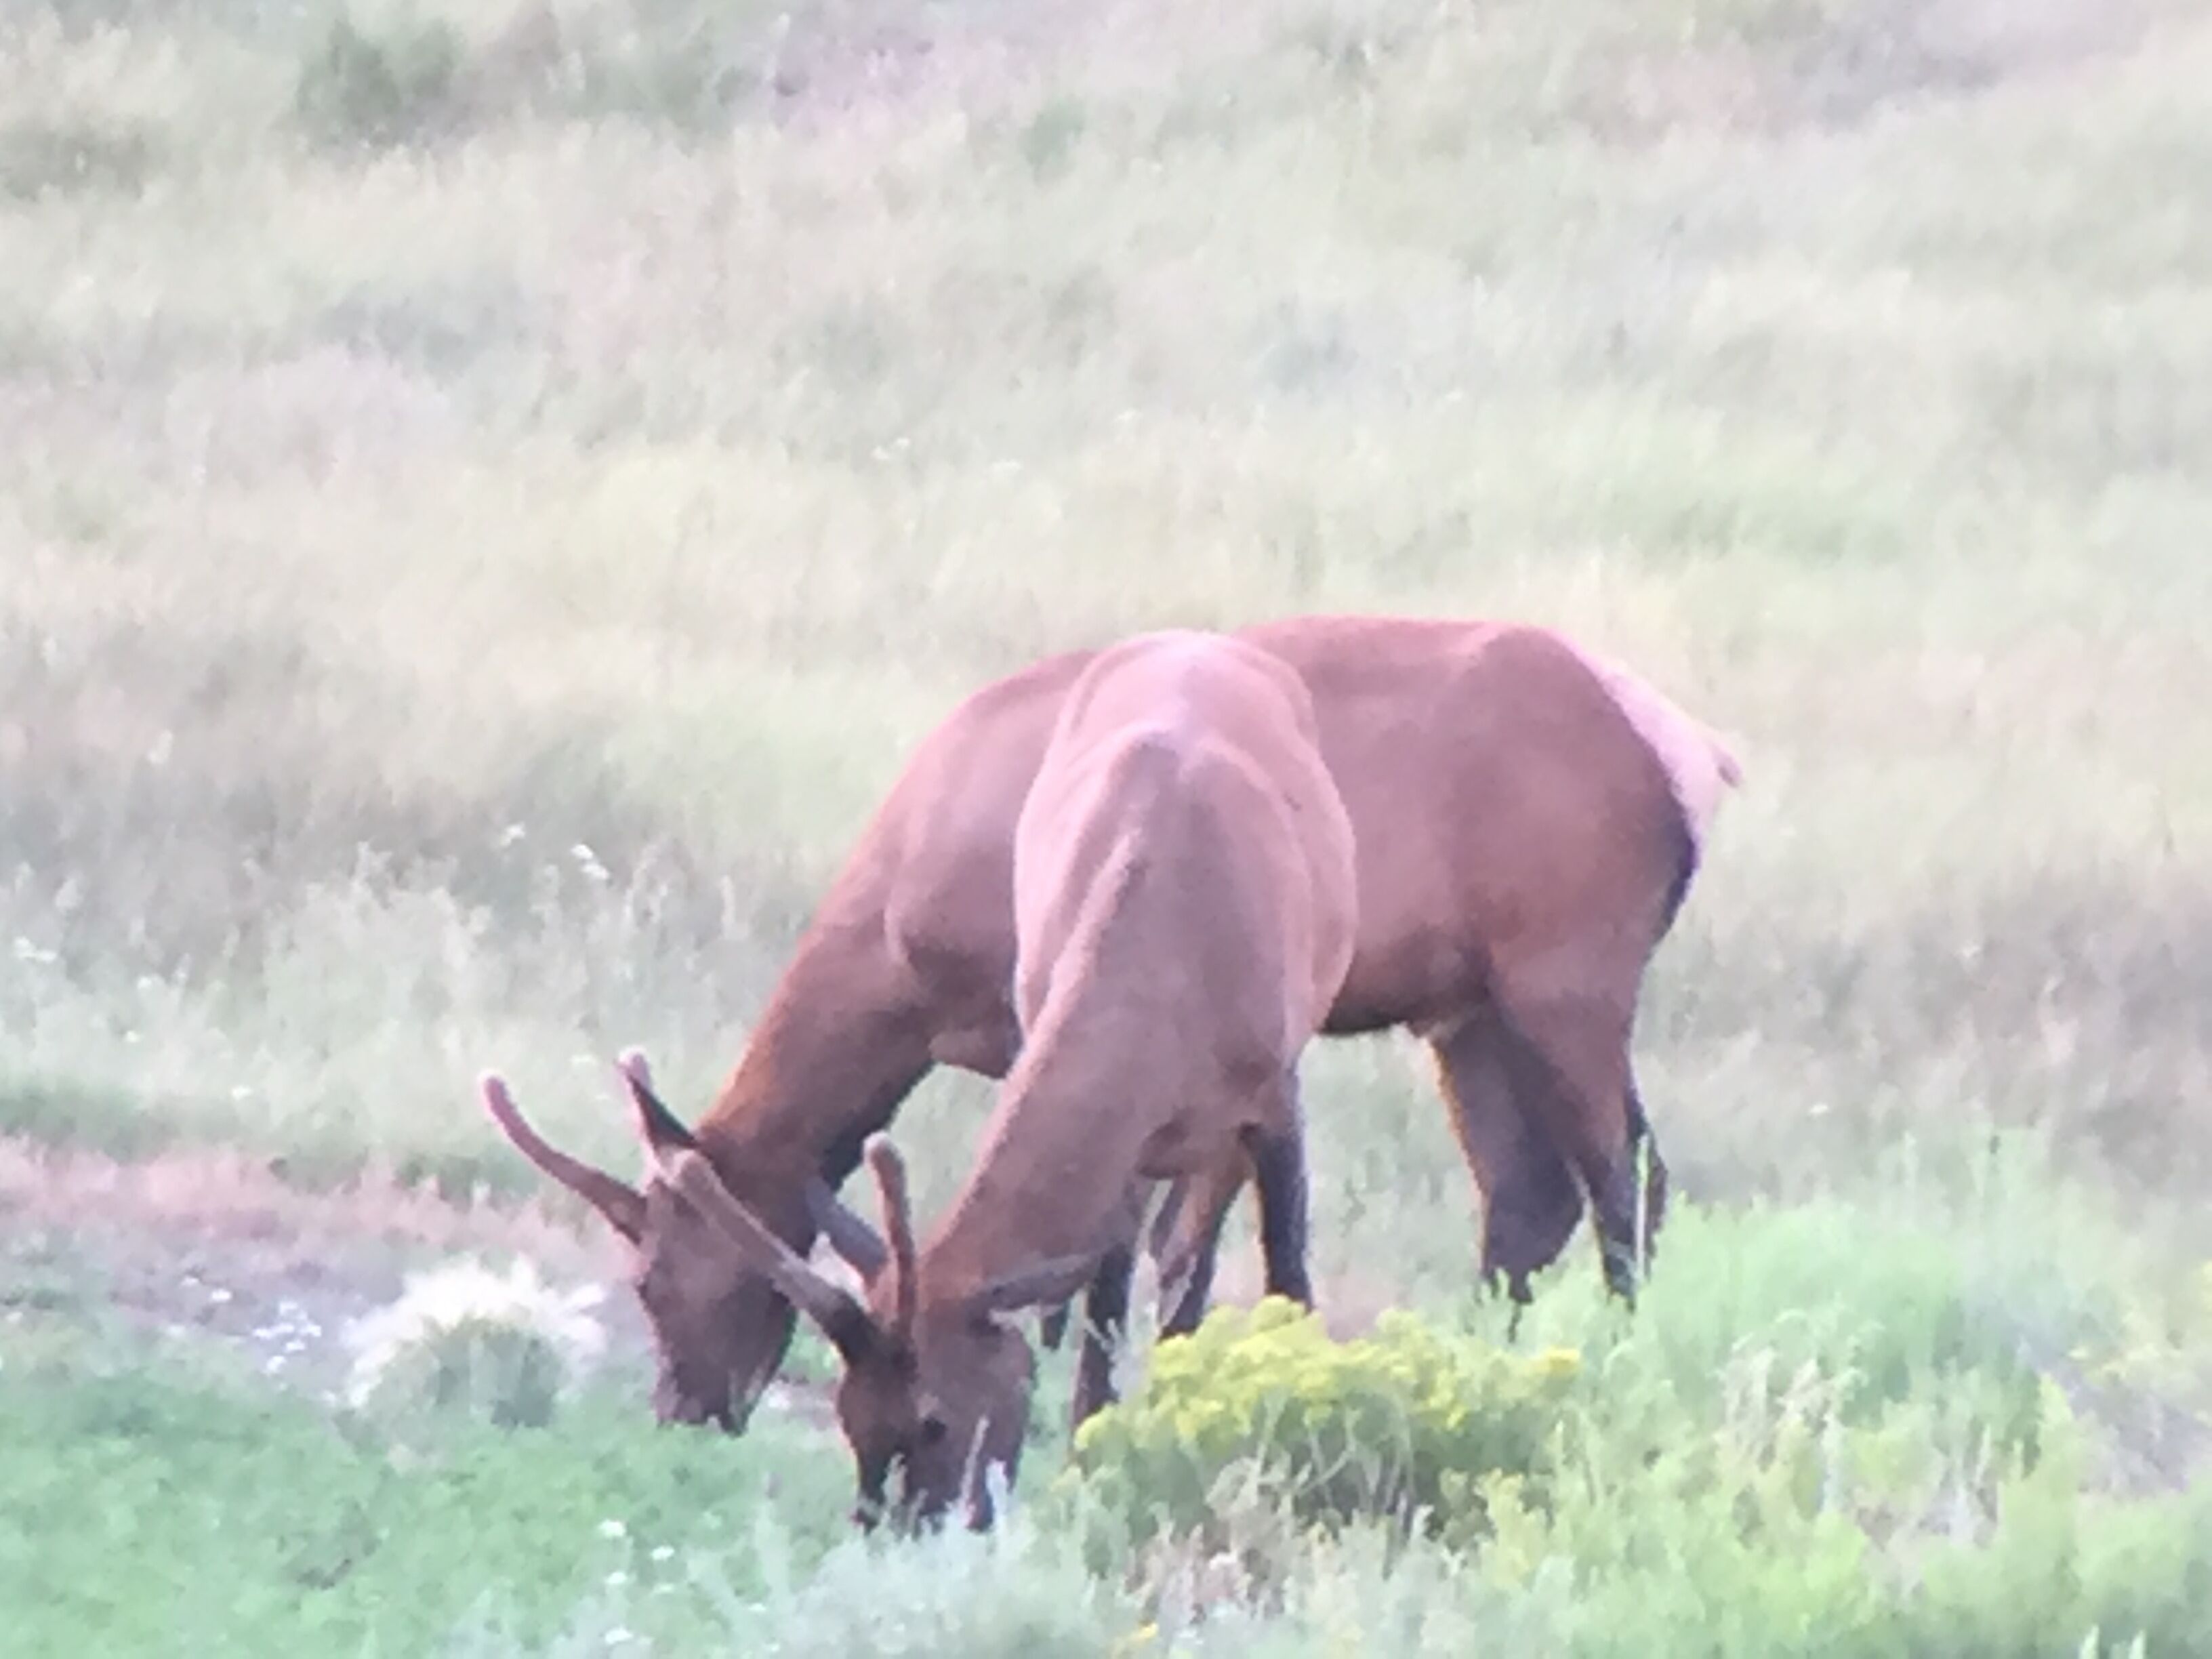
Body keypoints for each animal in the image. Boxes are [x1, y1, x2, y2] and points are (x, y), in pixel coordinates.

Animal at [477, 613, 1741, 1435]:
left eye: (654, 1275)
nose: (683, 1406)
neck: (897, 939)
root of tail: (1695, 758)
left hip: (1568, 970)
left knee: (1622, 1176)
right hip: (1467, 1007)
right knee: (1526, 1193)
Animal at [597, 629, 1358, 1529]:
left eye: (934, 1419)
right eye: (849, 1415)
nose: (894, 1528)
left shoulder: (1275, 1087)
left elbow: (1289, 1277)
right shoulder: (1067, 1056)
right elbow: (1103, 1300)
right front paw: (1090, 1455)